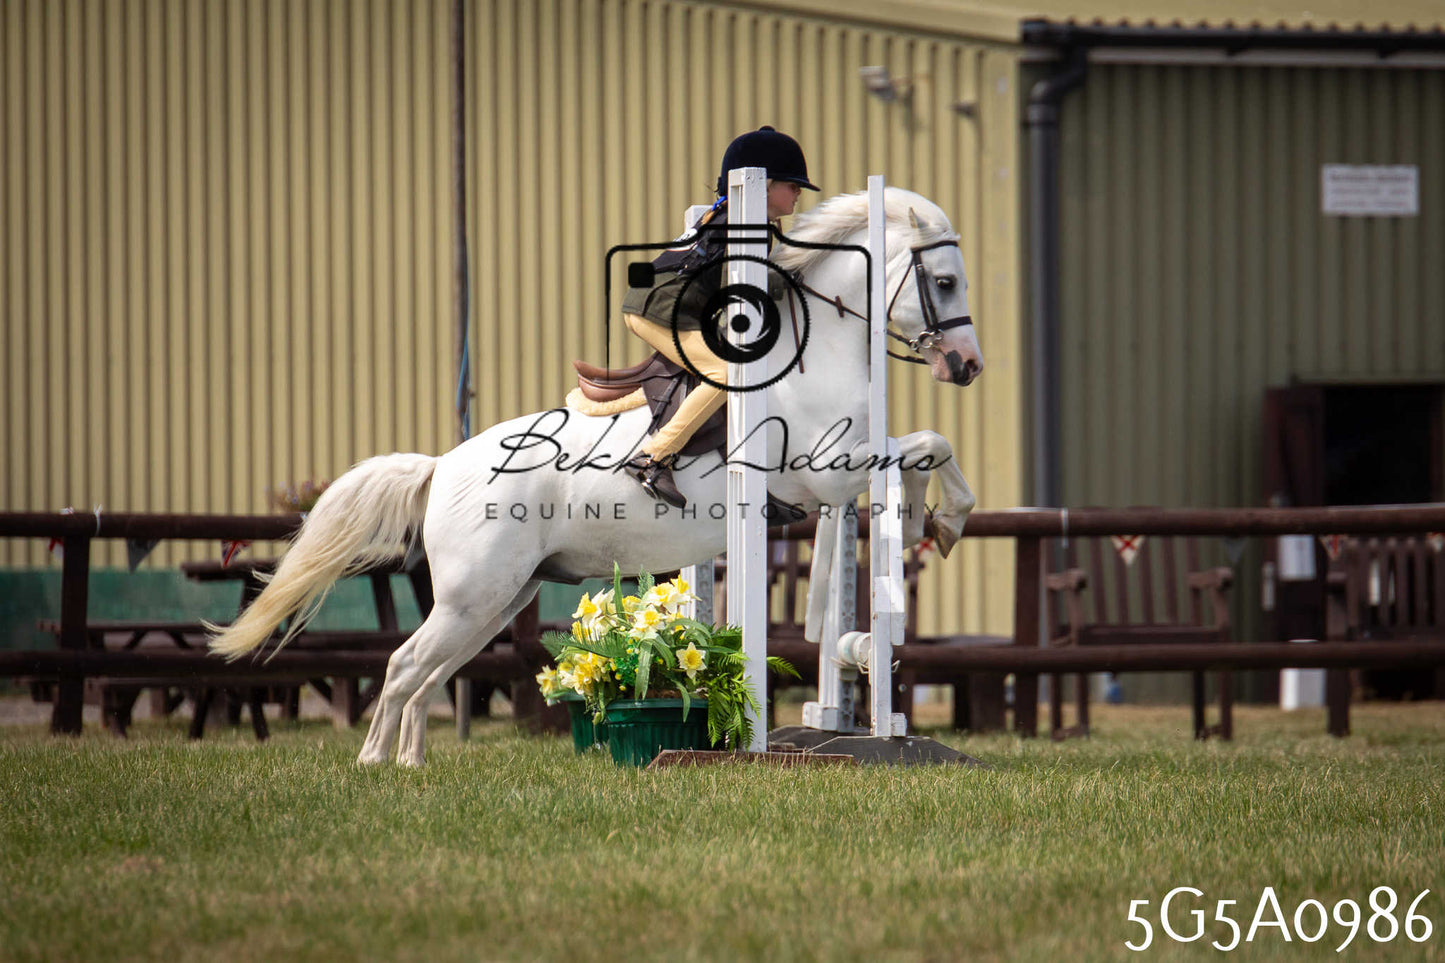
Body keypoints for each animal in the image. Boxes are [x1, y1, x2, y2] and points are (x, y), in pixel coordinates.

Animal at [209, 186, 984, 766]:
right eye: (944, 282)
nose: (968, 366)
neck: (815, 350)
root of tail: (442, 465)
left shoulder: (843, 475)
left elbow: (924, 450)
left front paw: (929, 519)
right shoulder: (826, 476)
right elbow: (928, 444)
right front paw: (943, 519)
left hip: (496, 598)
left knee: (430, 673)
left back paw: (411, 763)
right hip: (471, 595)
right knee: (405, 667)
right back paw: (376, 767)